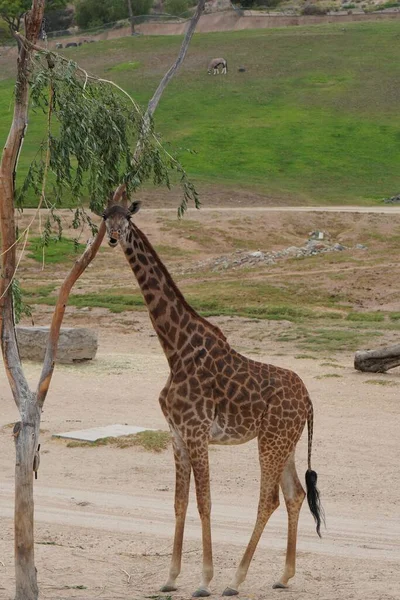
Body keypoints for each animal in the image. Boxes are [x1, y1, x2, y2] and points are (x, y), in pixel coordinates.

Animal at [102, 204, 322, 596]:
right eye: (103, 216)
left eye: (126, 218)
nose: (113, 238)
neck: (175, 350)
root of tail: (309, 400)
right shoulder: (176, 434)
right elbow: (179, 502)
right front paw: (170, 578)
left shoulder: (196, 431)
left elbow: (204, 502)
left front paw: (204, 580)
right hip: (287, 441)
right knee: (295, 494)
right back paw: (282, 577)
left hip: (271, 441)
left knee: (269, 499)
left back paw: (235, 580)